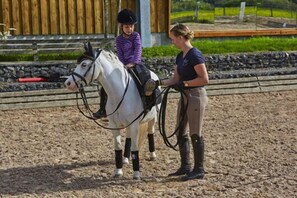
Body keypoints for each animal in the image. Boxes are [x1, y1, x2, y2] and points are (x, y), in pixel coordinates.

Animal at [65, 42, 160, 180]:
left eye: (84, 64)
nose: (68, 83)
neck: (120, 93)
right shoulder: (114, 125)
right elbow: (118, 146)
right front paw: (118, 171)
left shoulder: (135, 124)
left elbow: (135, 147)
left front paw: (136, 174)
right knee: (128, 138)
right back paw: (125, 159)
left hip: (153, 118)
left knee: (150, 132)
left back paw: (152, 155)